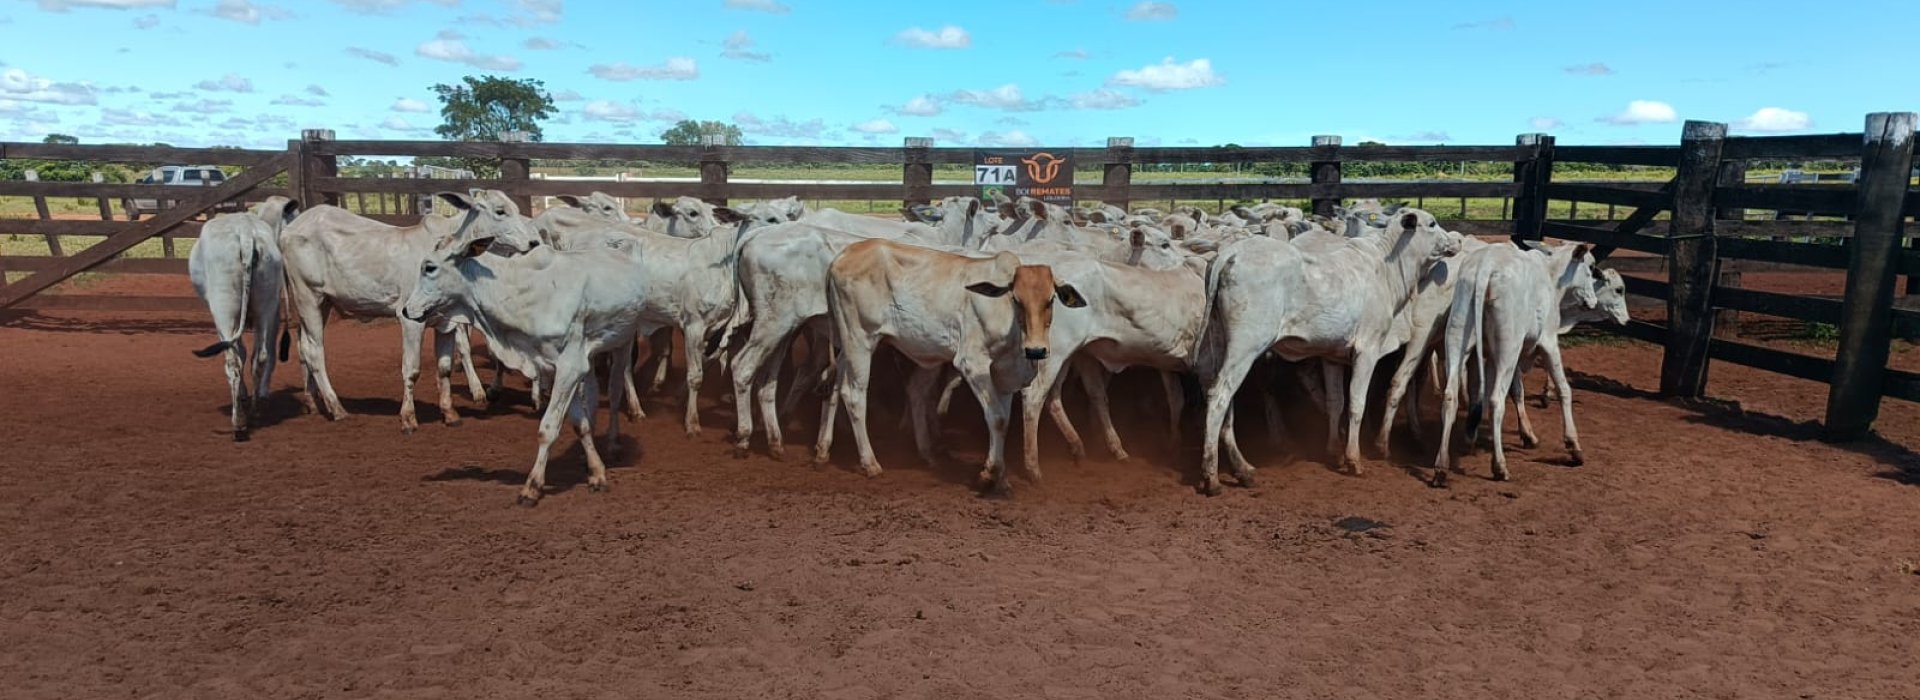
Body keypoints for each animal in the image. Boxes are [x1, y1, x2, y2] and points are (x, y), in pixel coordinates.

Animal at [188, 195, 301, 442]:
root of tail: (247, 236)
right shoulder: (271, 312)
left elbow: (239, 351)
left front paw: (242, 394)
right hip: (265, 305)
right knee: (261, 357)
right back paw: (255, 412)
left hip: (224, 309)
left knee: (232, 360)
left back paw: (239, 422)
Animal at [279, 189, 540, 433]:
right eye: (500, 211)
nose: (534, 243)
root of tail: (290, 229)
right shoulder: (411, 320)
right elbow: (412, 369)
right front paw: (408, 418)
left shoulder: (446, 323)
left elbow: (444, 368)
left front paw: (450, 413)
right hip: (308, 297)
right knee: (314, 351)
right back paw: (336, 408)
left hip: (324, 303)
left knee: (303, 347)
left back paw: (312, 402)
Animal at [402, 229, 651, 506]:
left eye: (429, 267)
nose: (406, 309)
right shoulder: (556, 369)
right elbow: (580, 424)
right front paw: (596, 473)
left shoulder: (570, 367)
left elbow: (548, 429)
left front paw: (532, 487)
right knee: (594, 392)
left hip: (623, 342)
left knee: (616, 389)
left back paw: (614, 442)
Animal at [811, 239, 1086, 495]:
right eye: (1016, 299)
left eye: (1050, 300)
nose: (1036, 350)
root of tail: (840, 258)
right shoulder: (972, 363)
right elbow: (996, 418)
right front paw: (989, 475)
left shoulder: (1003, 374)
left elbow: (1004, 420)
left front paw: (1001, 479)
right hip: (861, 339)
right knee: (853, 394)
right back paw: (870, 463)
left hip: (848, 343)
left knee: (832, 382)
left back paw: (822, 452)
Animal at [1193, 208, 1462, 495]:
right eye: (1431, 224)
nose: (1457, 240)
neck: (1385, 269)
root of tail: (1230, 254)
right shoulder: (1367, 349)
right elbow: (1356, 403)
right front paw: (1354, 459)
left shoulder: (1332, 357)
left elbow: (1336, 401)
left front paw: (1334, 451)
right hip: (1246, 345)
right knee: (1220, 396)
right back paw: (1211, 477)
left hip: (1221, 342)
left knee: (1222, 399)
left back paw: (1242, 469)